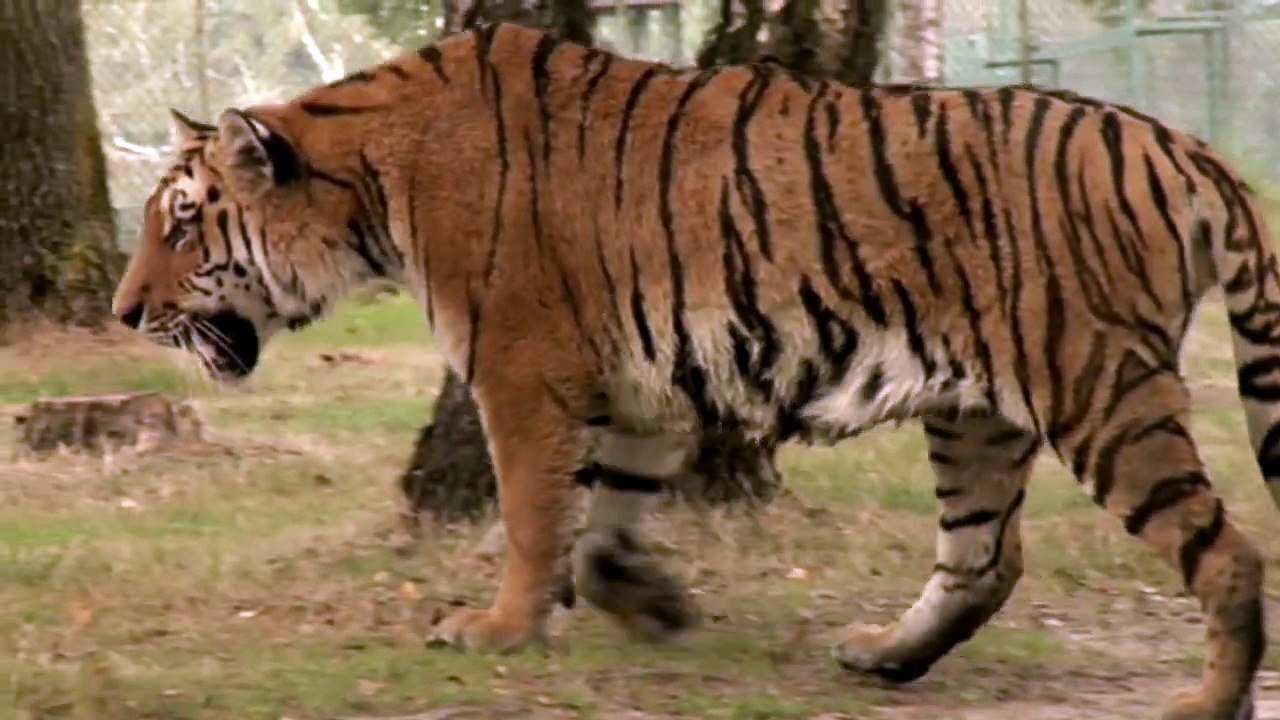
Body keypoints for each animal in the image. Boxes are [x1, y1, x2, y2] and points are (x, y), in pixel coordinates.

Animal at [109, 22, 1277, 719]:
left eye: (183, 223)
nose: (123, 313)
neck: (367, 187)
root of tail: (1186, 147)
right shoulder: (640, 388)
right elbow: (598, 529)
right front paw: (656, 606)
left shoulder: (518, 373)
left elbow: (532, 519)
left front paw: (496, 629)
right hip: (976, 412)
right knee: (983, 557)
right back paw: (883, 657)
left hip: (1099, 387)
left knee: (1224, 554)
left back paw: (1199, 705)